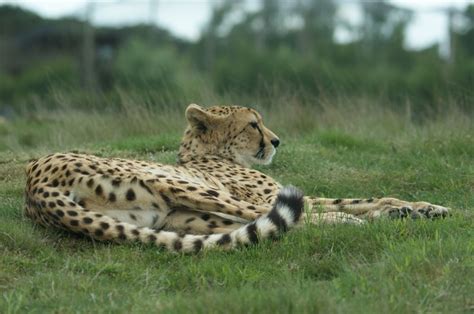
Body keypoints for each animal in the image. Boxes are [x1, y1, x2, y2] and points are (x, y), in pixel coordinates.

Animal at [24, 104, 450, 251]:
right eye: (253, 124)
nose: (276, 141)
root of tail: (34, 186)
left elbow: (357, 198)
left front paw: (416, 209)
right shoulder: (267, 195)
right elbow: (351, 200)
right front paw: (405, 208)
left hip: (179, 218)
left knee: (261, 226)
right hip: (189, 190)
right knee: (284, 217)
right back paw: (348, 222)